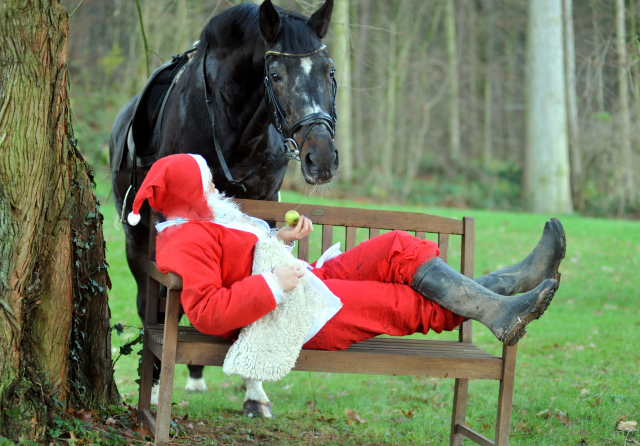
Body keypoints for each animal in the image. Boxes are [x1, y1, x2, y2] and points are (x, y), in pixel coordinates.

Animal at [109, 0, 340, 418]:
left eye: (329, 71)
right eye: (276, 75)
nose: (322, 159)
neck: (235, 129)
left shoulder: (263, 205)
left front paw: (254, 391)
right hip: (135, 238)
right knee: (150, 299)